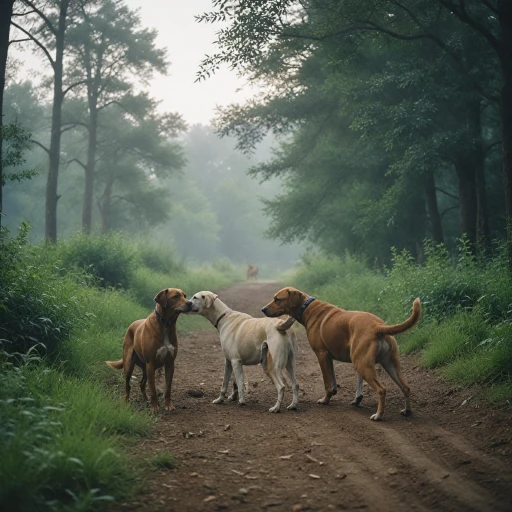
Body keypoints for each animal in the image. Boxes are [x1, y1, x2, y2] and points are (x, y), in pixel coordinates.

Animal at [262, 288, 422, 420]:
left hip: (362, 364)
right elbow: (332, 380)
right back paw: (407, 411)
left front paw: (325, 400)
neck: (306, 308)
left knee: (382, 390)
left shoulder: (321, 355)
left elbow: (327, 382)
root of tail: (379, 326)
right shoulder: (329, 357)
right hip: (390, 365)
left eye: (277, 299)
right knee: (405, 387)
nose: (263, 309)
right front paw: (334, 394)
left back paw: (378, 415)